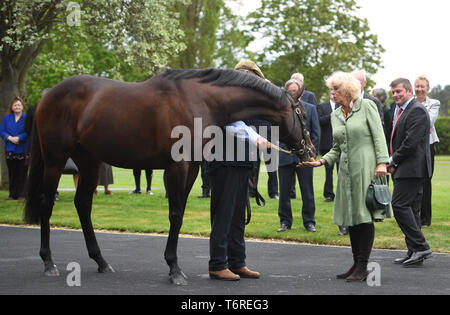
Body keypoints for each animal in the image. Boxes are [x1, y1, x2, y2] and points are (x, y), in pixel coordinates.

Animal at [23, 68, 312, 286]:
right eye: (303, 114)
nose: (309, 151)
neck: (200, 100)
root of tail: (48, 95)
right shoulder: (177, 167)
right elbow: (175, 215)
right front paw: (174, 269)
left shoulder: (192, 168)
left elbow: (180, 212)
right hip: (55, 159)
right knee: (46, 203)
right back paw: (49, 262)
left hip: (90, 161)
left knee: (83, 204)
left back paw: (101, 261)